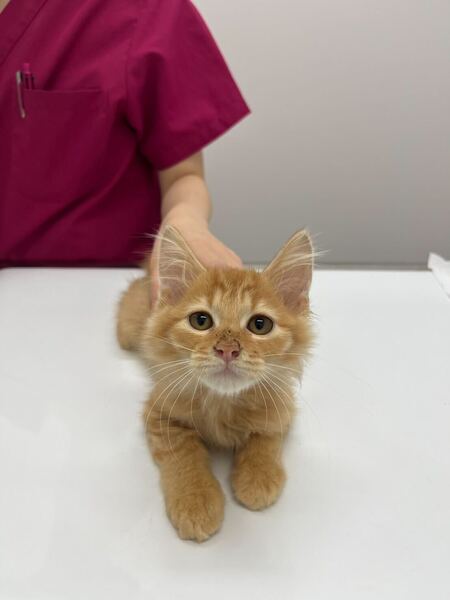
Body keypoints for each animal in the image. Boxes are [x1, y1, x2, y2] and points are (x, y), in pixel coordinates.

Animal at [116, 226, 314, 542]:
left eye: (260, 325)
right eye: (201, 321)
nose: (227, 350)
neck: (224, 402)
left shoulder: (281, 404)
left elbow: (266, 437)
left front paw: (258, 477)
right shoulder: (159, 413)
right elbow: (184, 454)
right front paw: (196, 501)